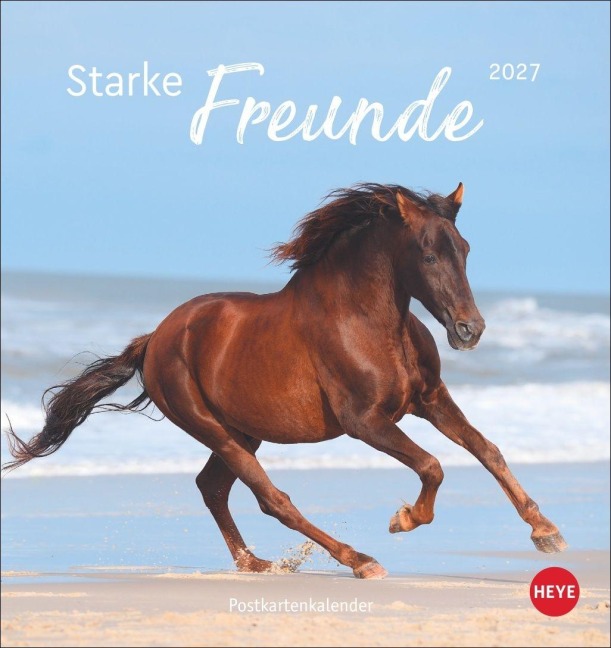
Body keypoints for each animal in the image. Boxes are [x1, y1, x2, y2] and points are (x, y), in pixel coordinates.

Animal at [4, 182, 567, 579]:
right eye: (429, 254)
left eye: (465, 249)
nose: (471, 330)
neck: (364, 319)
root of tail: (157, 338)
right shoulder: (365, 421)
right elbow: (433, 465)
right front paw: (403, 518)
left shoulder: (428, 399)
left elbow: (486, 449)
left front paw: (546, 532)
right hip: (213, 428)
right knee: (270, 498)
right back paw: (359, 560)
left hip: (243, 430)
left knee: (213, 488)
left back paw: (256, 564)